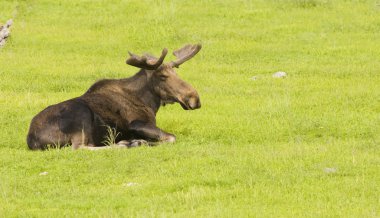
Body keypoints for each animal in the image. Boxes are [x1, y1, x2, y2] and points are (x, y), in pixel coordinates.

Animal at [26, 44, 202, 150]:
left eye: (176, 72)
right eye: (163, 76)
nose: (195, 98)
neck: (149, 102)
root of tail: (31, 139)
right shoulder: (136, 124)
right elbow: (171, 138)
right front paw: (139, 141)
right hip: (81, 115)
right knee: (81, 147)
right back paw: (125, 144)